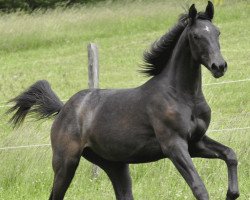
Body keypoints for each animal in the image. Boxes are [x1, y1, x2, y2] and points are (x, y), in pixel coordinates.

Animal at [7, 1, 238, 200]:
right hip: (66, 163)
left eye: (217, 32)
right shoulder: (174, 145)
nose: (219, 66)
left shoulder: (196, 142)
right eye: (197, 36)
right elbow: (199, 187)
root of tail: (63, 108)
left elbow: (230, 154)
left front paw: (231, 193)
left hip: (114, 165)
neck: (182, 96)